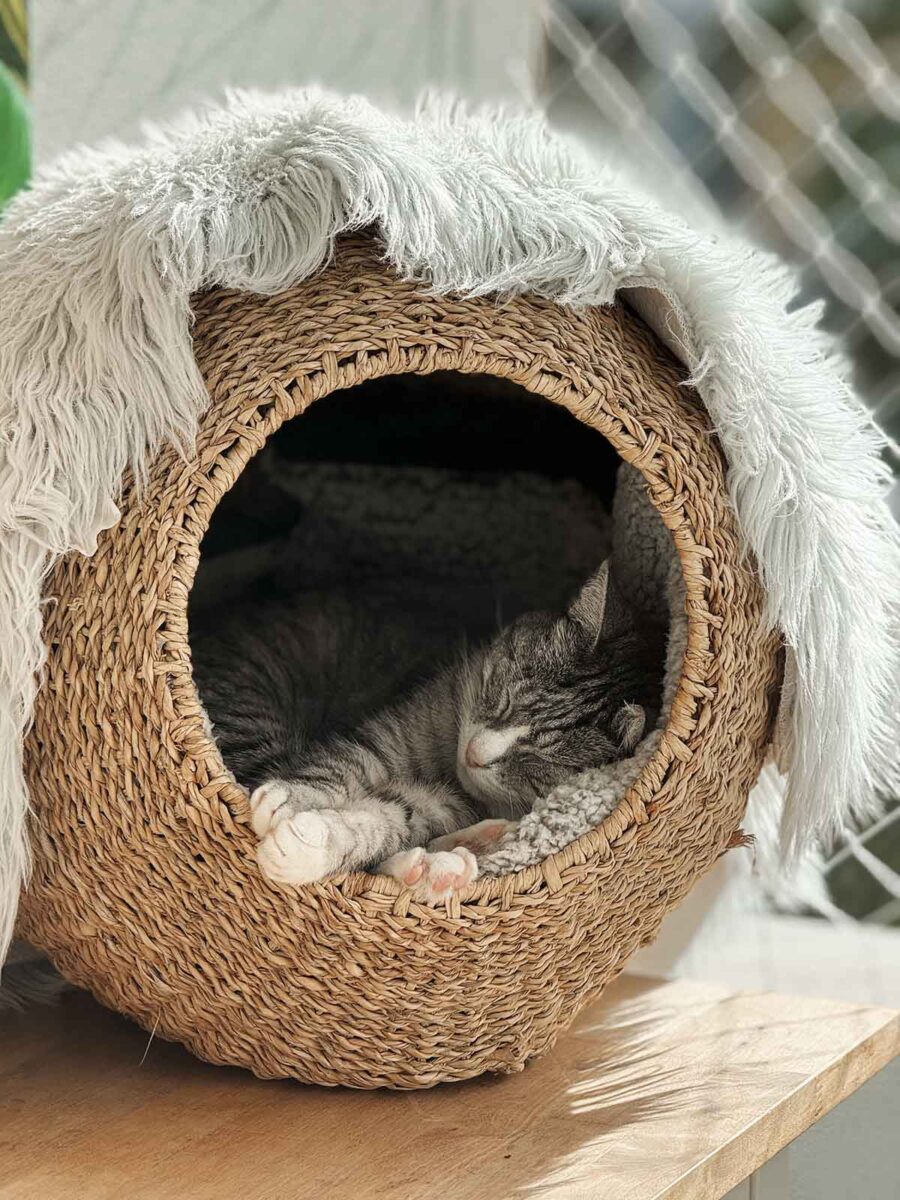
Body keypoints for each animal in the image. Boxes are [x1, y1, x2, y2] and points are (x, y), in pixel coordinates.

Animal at [192, 559, 657, 902]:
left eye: (534, 761)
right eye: (505, 700)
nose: (475, 754)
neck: (448, 770)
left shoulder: (443, 806)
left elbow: (393, 818)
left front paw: (314, 844)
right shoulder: (387, 737)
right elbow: (342, 767)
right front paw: (296, 800)